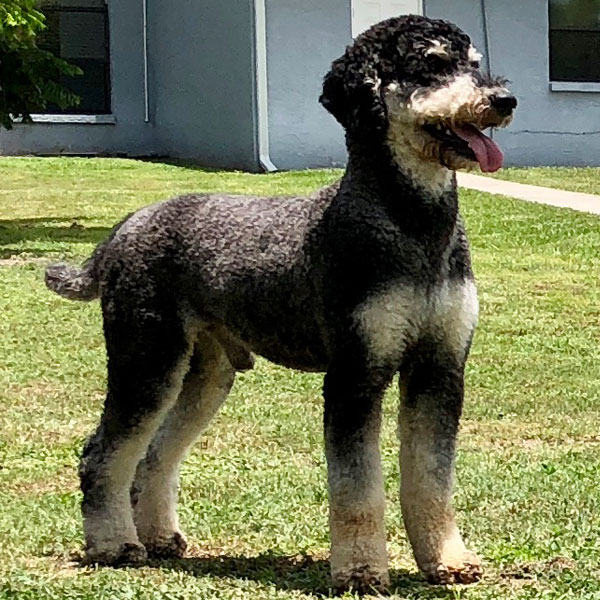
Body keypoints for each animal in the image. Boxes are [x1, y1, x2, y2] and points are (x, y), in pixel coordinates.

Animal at [45, 15, 516, 596]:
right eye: (431, 63)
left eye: (473, 63)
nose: (504, 99)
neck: (410, 224)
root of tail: (121, 232)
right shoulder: (355, 374)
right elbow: (357, 486)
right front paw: (360, 570)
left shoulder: (439, 369)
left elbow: (432, 476)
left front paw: (448, 560)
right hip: (147, 360)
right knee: (104, 454)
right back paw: (114, 545)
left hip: (206, 375)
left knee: (155, 455)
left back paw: (158, 538)